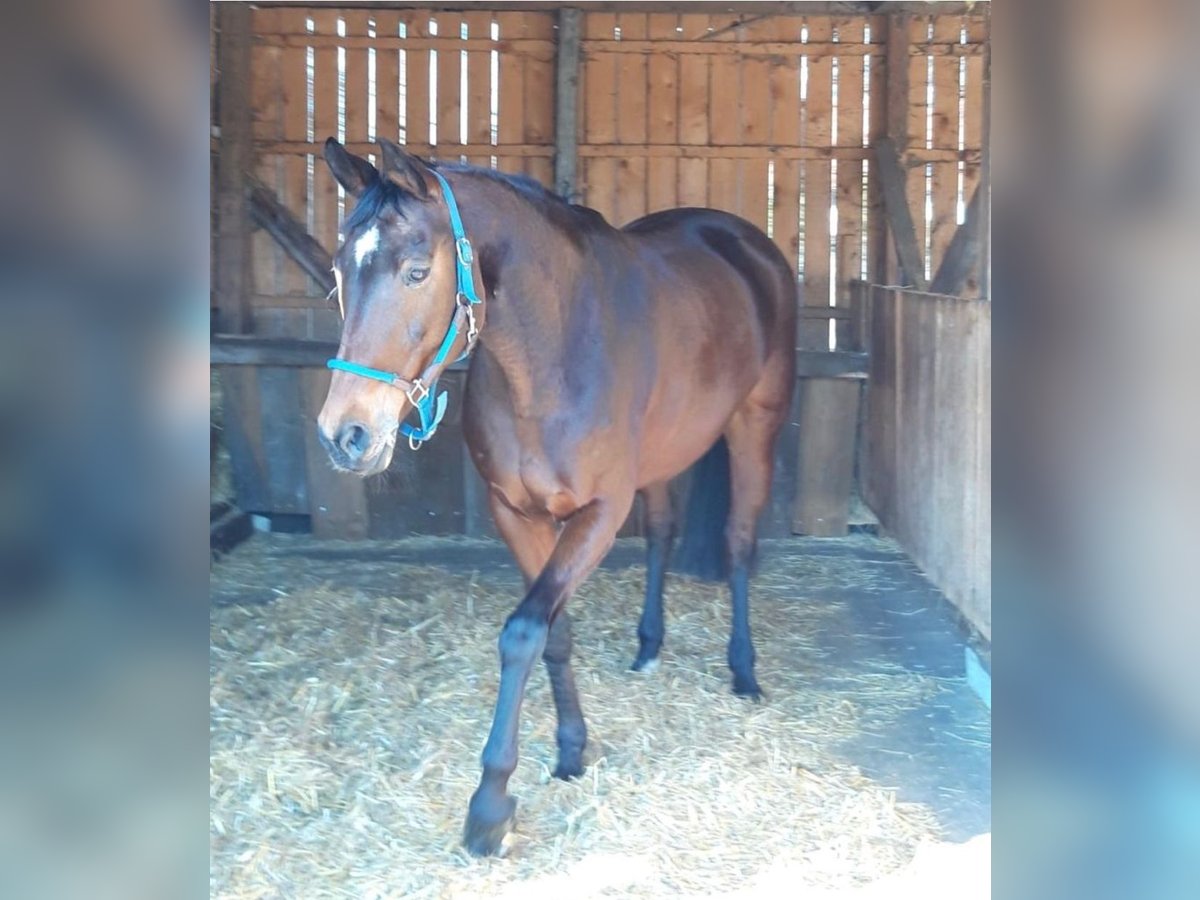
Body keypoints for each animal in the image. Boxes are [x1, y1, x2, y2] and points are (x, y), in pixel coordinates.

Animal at [319, 137, 796, 854]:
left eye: (416, 272)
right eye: (340, 269)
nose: (345, 434)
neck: (550, 357)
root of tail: (744, 241)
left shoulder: (597, 516)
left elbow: (522, 633)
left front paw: (490, 804)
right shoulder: (516, 514)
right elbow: (554, 633)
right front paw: (571, 750)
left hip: (753, 426)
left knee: (738, 542)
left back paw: (743, 672)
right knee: (662, 532)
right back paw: (649, 647)